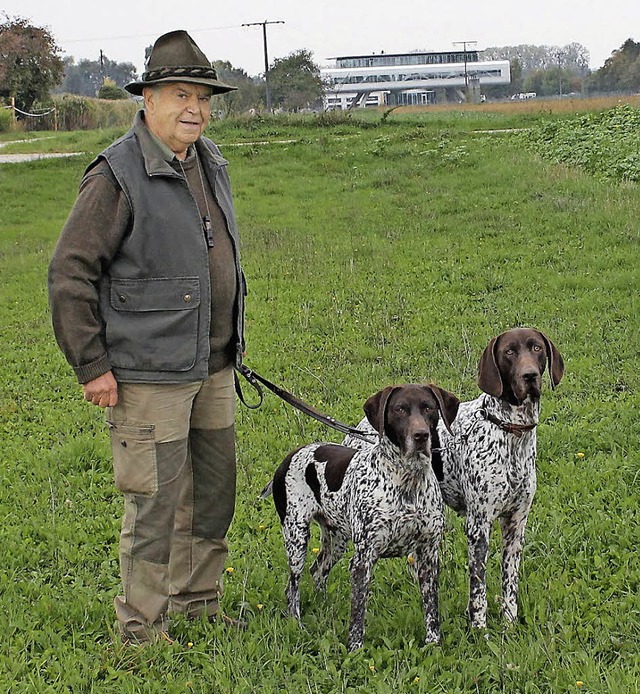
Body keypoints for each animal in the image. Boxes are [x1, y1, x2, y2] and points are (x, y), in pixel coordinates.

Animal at [264, 386, 460, 652]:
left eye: (429, 407)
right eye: (399, 409)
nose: (421, 435)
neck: (406, 480)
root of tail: (290, 456)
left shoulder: (428, 555)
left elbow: (431, 608)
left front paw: (433, 644)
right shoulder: (363, 560)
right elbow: (358, 612)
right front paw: (355, 648)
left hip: (336, 541)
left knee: (318, 571)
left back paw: (324, 607)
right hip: (296, 538)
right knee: (292, 588)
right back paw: (297, 623)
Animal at [344, 330, 564, 632]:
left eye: (537, 348)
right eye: (509, 352)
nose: (529, 375)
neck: (508, 431)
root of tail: (361, 429)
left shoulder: (515, 524)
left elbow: (509, 584)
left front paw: (508, 626)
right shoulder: (478, 526)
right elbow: (478, 589)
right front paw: (479, 630)